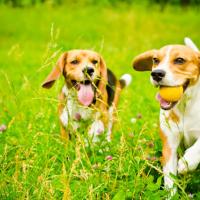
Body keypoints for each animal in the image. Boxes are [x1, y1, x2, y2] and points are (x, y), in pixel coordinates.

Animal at [133, 38, 200, 192]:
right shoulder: (170, 145)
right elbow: (170, 180)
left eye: (180, 60)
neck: (184, 105)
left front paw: (188, 162)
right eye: (155, 60)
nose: (156, 73)